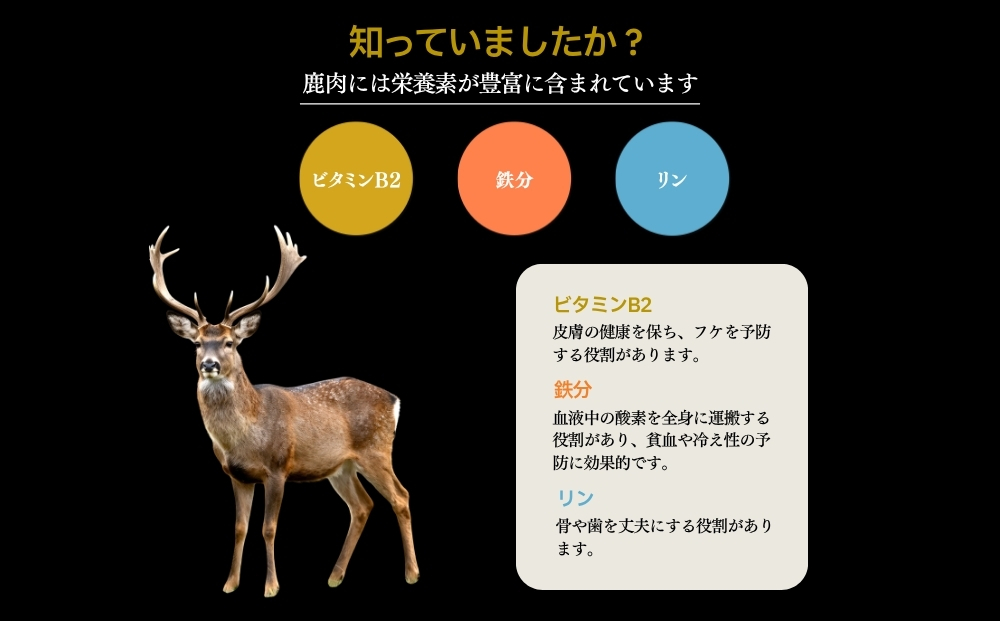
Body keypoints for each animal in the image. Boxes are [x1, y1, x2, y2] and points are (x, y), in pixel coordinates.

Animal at [149, 225, 419, 597]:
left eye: (231, 343)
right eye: (197, 343)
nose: (209, 364)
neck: (247, 434)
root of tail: (394, 400)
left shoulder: (278, 468)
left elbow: (269, 527)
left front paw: (271, 586)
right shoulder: (236, 475)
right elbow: (240, 528)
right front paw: (230, 584)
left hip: (376, 450)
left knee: (400, 497)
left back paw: (411, 574)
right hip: (341, 466)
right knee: (362, 506)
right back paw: (334, 576)